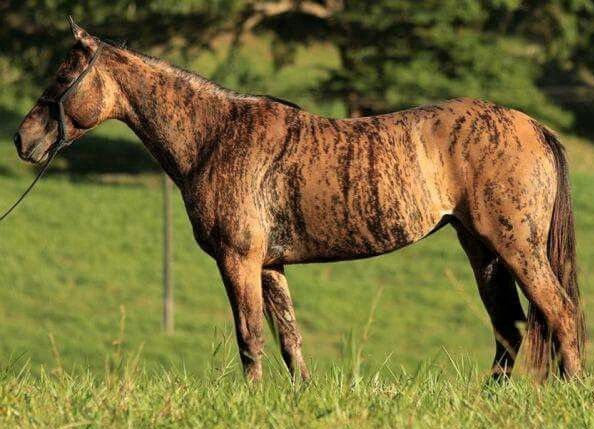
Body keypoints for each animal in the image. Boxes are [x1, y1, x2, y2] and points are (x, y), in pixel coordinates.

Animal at [13, 18, 584, 382]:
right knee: (509, 327)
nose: (23, 139)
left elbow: (250, 338)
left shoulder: (238, 260)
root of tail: (534, 126)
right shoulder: (271, 266)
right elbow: (290, 341)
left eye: (63, 75)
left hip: (515, 246)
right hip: (482, 249)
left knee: (560, 312)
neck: (216, 136)